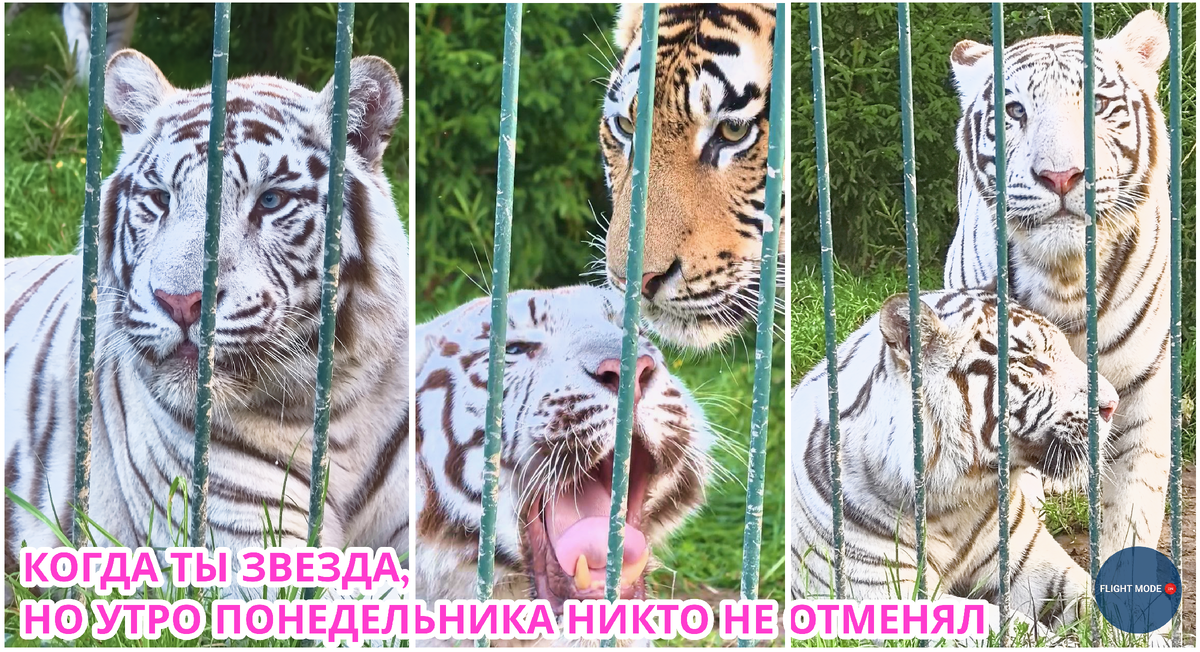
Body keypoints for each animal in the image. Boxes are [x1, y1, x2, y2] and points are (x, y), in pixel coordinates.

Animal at [942, 10, 1173, 563]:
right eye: (1014, 110)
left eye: (1098, 105)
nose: (1061, 176)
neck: (1065, 277)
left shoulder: (1144, 390)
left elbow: (1131, 514)